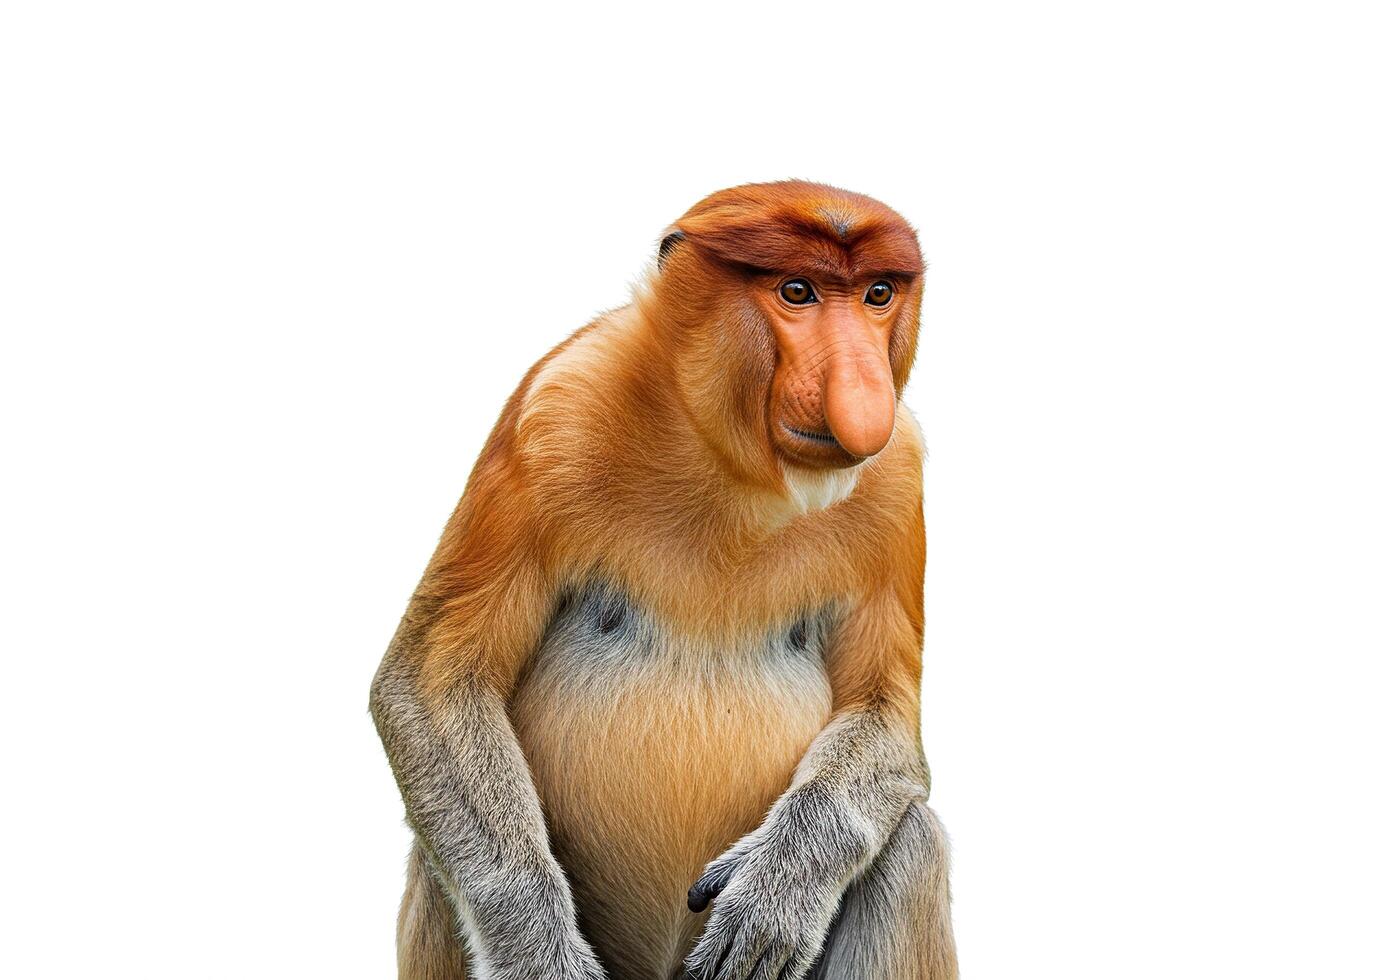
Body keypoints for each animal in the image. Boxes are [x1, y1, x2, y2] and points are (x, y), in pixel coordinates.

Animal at [371, 180, 958, 980]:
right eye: (797, 291)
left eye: (877, 294)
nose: (865, 389)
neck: (730, 467)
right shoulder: (551, 413)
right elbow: (431, 682)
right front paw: (541, 960)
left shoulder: (896, 478)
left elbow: (886, 715)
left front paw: (772, 901)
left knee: (910, 842)